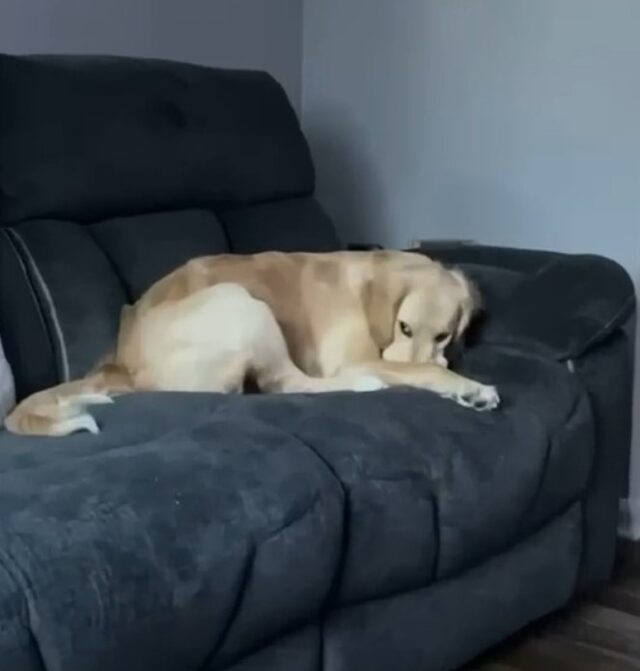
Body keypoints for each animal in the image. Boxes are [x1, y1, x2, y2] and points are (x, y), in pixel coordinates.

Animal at [5, 251, 500, 436]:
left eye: (443, 334)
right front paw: (472, 388)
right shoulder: (355, 359)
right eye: (403, 327)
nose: (443, 347)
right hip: (243, 304)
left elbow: (430, 365)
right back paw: (367, 388)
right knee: (288, 384)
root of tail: (122, 363)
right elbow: (421, 369)